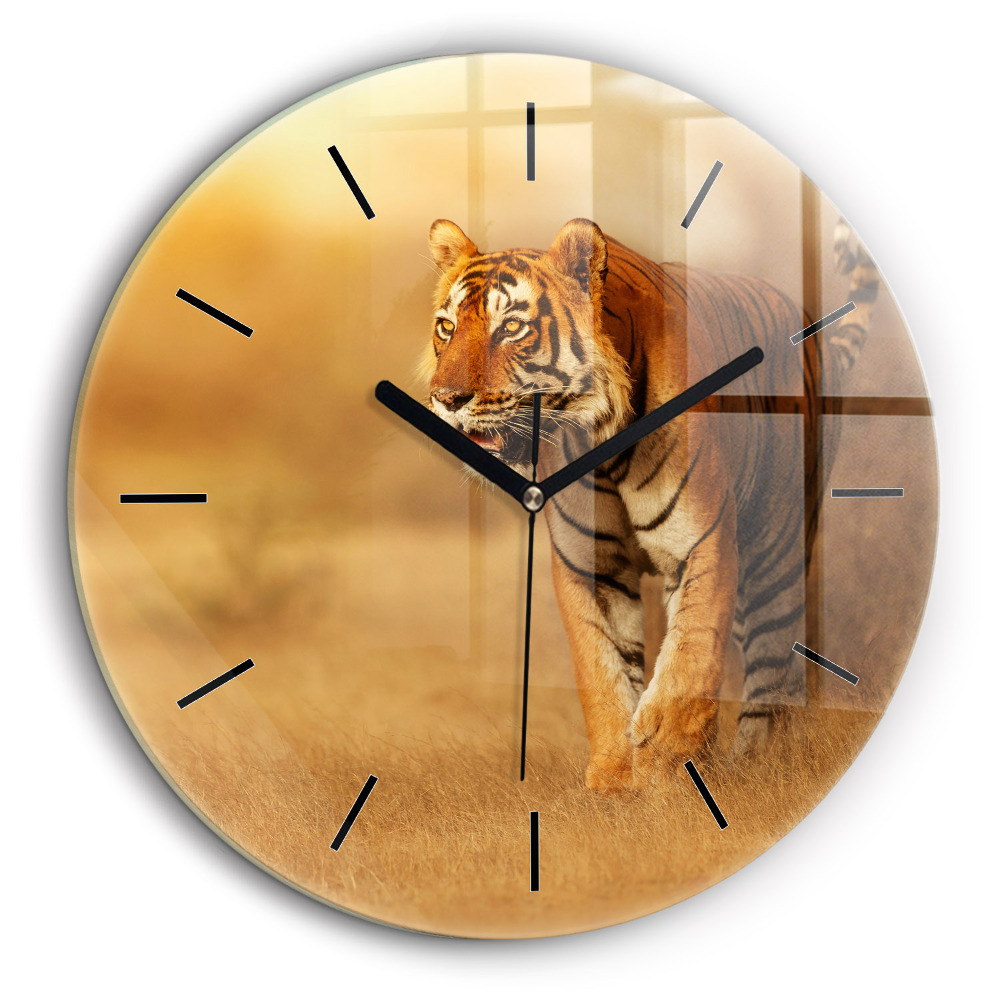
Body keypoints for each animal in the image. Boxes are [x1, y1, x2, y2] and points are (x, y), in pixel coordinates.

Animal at [424, 217, 878, 791]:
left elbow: (690, 655)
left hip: (776, 553)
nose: (445, 399)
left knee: (775, 672)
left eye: (511, 328)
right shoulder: (589, 565)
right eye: (446, 327)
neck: (598, 438)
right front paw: (616, 778)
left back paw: (761, 767)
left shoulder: (700, 542)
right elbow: (604, 669)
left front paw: (664, 764)